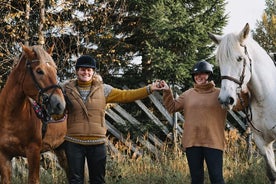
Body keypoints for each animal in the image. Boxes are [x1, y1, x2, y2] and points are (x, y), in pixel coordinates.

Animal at [209, 23, 276, 184]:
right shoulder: (262, 142)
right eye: (219, 61)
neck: (265, 99)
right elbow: (272, 174)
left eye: (239, 59)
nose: (225, 99)